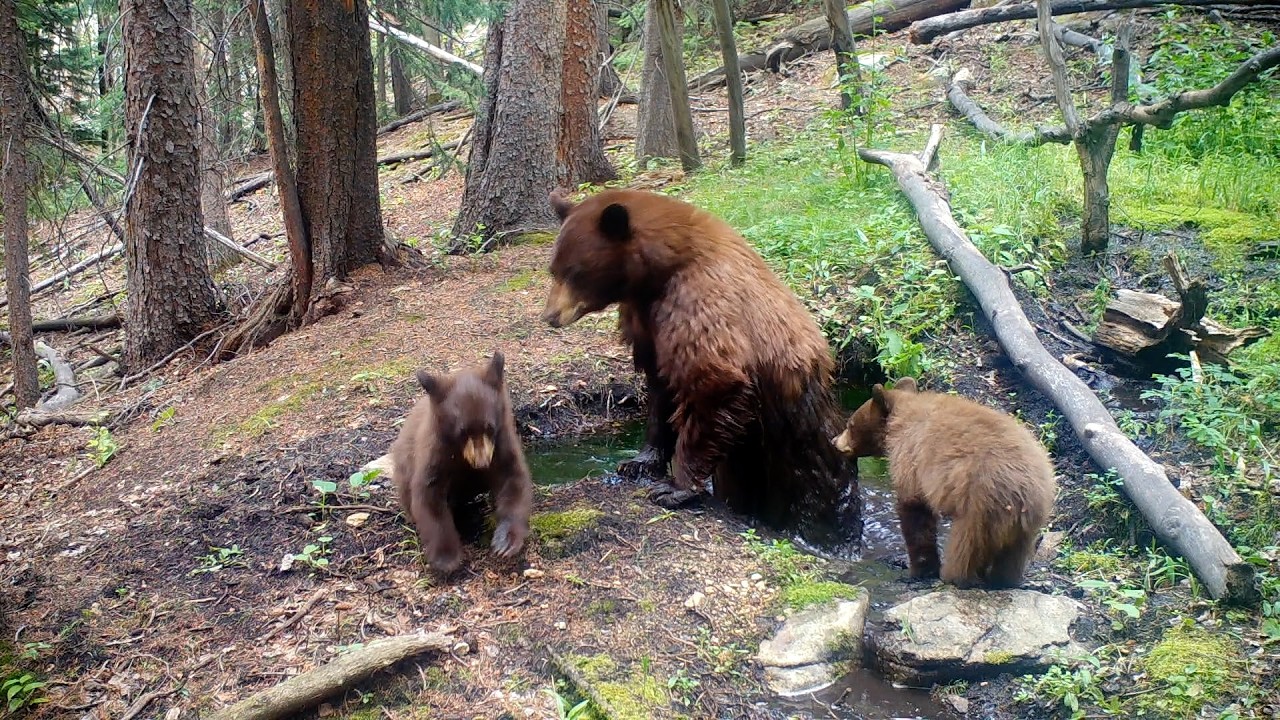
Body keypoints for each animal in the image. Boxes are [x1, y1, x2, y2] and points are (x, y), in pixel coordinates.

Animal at [390, 351, 533, 575]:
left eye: (489, 427)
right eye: (462, 432)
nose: (482, 463)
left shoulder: (502, 442)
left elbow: (512, 479)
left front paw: (506, 542)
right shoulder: (436, 451)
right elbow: (429, 495)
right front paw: (446, 558)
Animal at [540, 188, 860, 551]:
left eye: (575, 271)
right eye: (553, 269)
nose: (550, 316)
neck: (660, 273)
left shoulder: (697, 302)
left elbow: (714, 381)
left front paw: (674, 488)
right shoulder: (646, 322)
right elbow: (661, 388)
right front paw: (638, 462)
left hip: (798, 442)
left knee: (820, 493)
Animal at [831, 377, 1057, 589]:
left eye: (849, 424)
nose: (834, 441)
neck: (899, 423)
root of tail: (1025, 493)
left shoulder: (911, 460)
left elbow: (915, 511)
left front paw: (920, 569)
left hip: (978, 509)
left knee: (965, 548)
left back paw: (954, 576)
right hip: (1025, 525)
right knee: (1012, 556)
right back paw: (1003, 580)